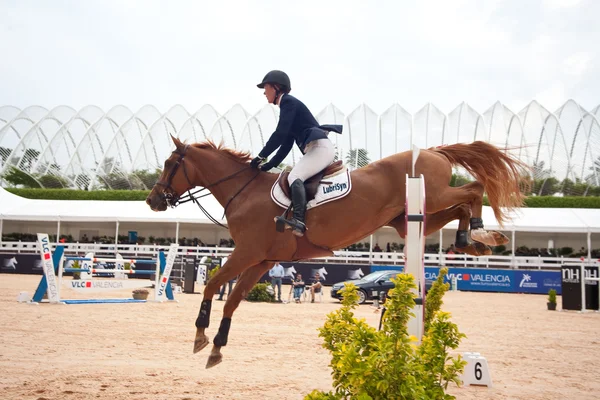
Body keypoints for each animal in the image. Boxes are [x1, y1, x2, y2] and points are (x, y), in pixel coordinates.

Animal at [145, 136, 524, 368]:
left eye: (169, 163)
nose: (152, 201)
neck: (244, 191)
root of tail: (434, 151)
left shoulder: (246, 253)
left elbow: (212, 285)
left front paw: (200, 335)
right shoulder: (261, 260)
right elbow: (234, 300)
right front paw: (216, 347)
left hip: (432, 197)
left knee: (474, 189)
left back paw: (482, 233)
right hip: (410, 220)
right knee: (460, 206)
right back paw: (472, 240)